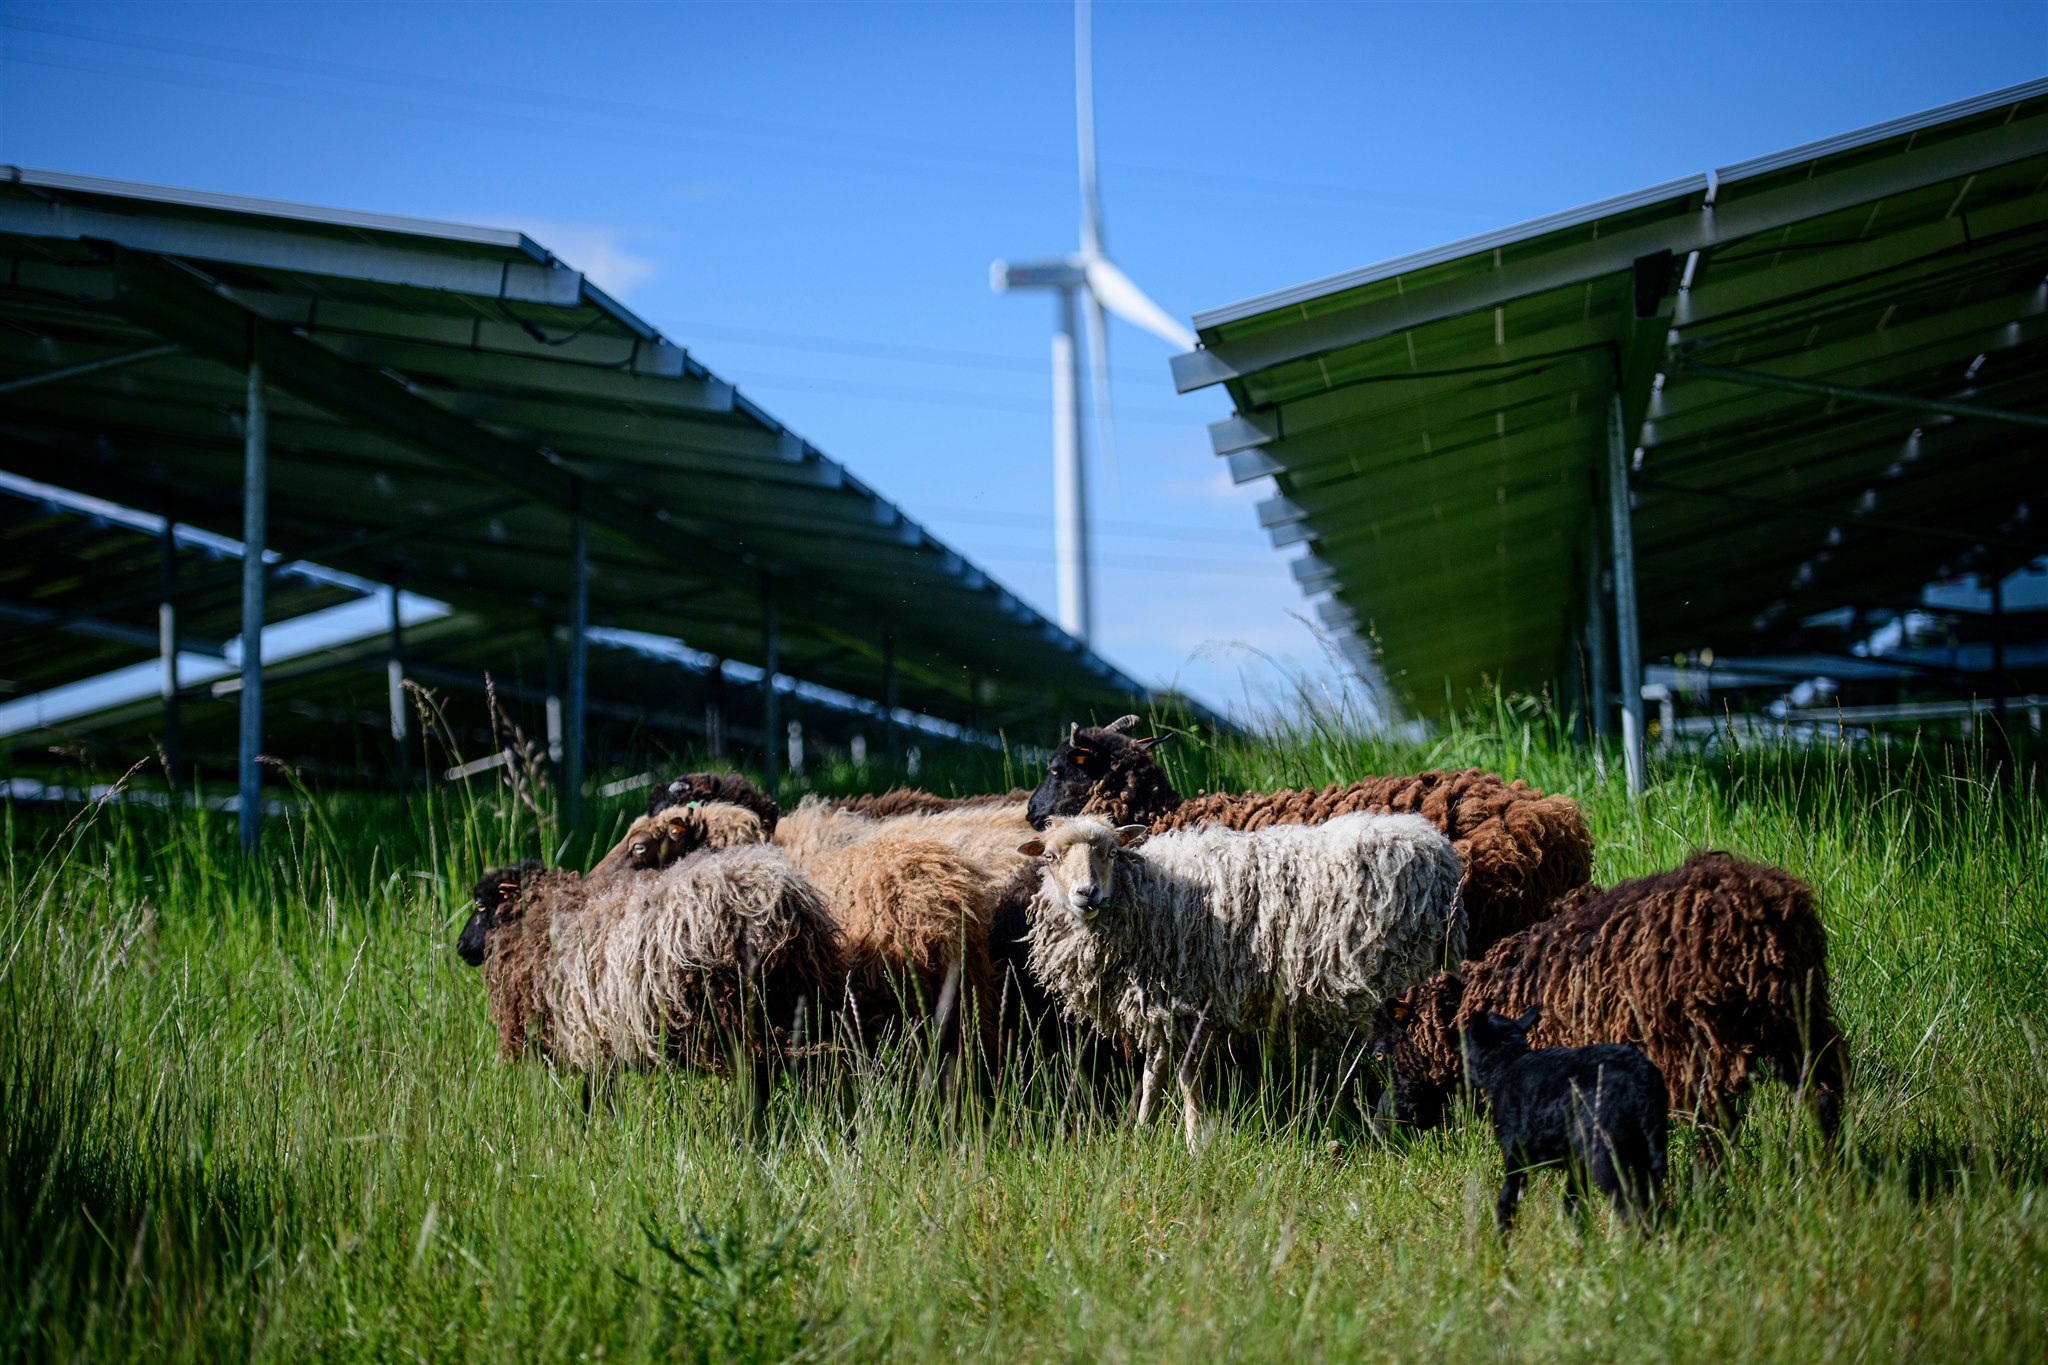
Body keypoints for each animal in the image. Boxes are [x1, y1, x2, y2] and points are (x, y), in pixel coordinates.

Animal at [1015, 810, 1466, 1146]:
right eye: (1050, 857)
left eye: (1110, 851)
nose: (1086, 894)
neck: (1146, 893)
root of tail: (1436, 847)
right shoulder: (1156, 1003)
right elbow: (1153, 1072)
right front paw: (1142, 1133)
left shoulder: (1189, 1000)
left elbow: (1186, 1075)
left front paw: (1195, 1140)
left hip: (1399, 972)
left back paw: (1392, 1124)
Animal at [1376, 847, 1843, 1146]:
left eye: (1388, 1050)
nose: (1386, 1123)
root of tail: (1758, 911)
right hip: (1795, 1014)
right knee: (1824, 1090)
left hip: (1694, 1039)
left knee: (1714, 1123)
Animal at [1458, 1002, 1662, 1236]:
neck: (1507, 1065)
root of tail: (1640, 1082)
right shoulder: (1575, 1163)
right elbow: (1572, 1205)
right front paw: (1581, 1240)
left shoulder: (1515, 1153)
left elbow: (1507, 1201)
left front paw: (1501, 1240)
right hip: (1647, 1148)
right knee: (1652, 1200)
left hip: (1603, 1150)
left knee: (1627, 1203)